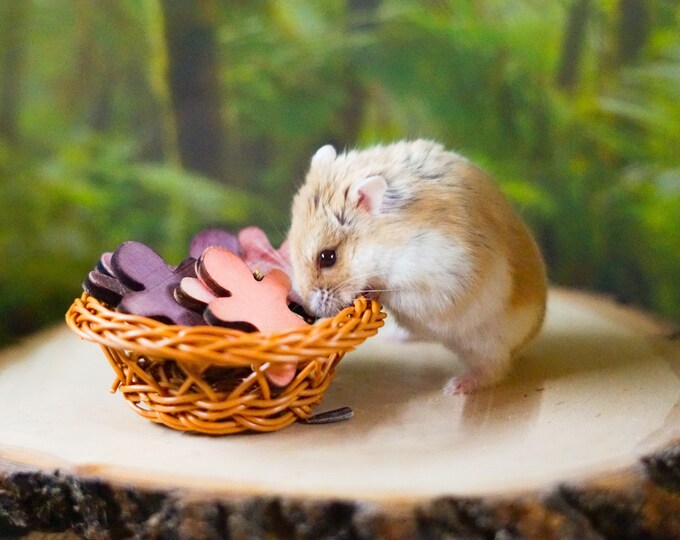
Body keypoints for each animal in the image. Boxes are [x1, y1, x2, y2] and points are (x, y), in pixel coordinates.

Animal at [287, 140, 547, 394]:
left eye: (328, 257)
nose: (306, 308)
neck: (383, 241)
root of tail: (535, 329)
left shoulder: (439, 280)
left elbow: (394, 293)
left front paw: (370, 293)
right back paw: (394, 337)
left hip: (488, 343)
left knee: (494, 371)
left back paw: (456, 386)